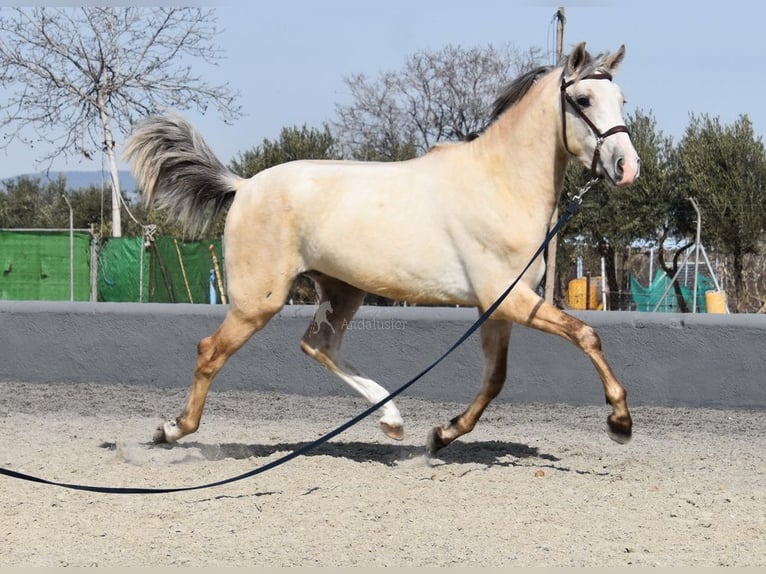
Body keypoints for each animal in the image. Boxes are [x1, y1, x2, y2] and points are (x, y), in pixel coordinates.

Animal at [126, 41, 640, 454]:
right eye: (583, 99)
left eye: (621, 99)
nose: (626, 167)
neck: (500, 184)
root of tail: (245, 185)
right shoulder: (510, 298)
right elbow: (585, 335)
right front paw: (620, 422)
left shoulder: (496, 307)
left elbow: (496, 379)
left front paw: (443, 434)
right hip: (259, 300)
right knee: (211, 350)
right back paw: (172, 430)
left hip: (342, 290)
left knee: (318, 345)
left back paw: (392, 421)